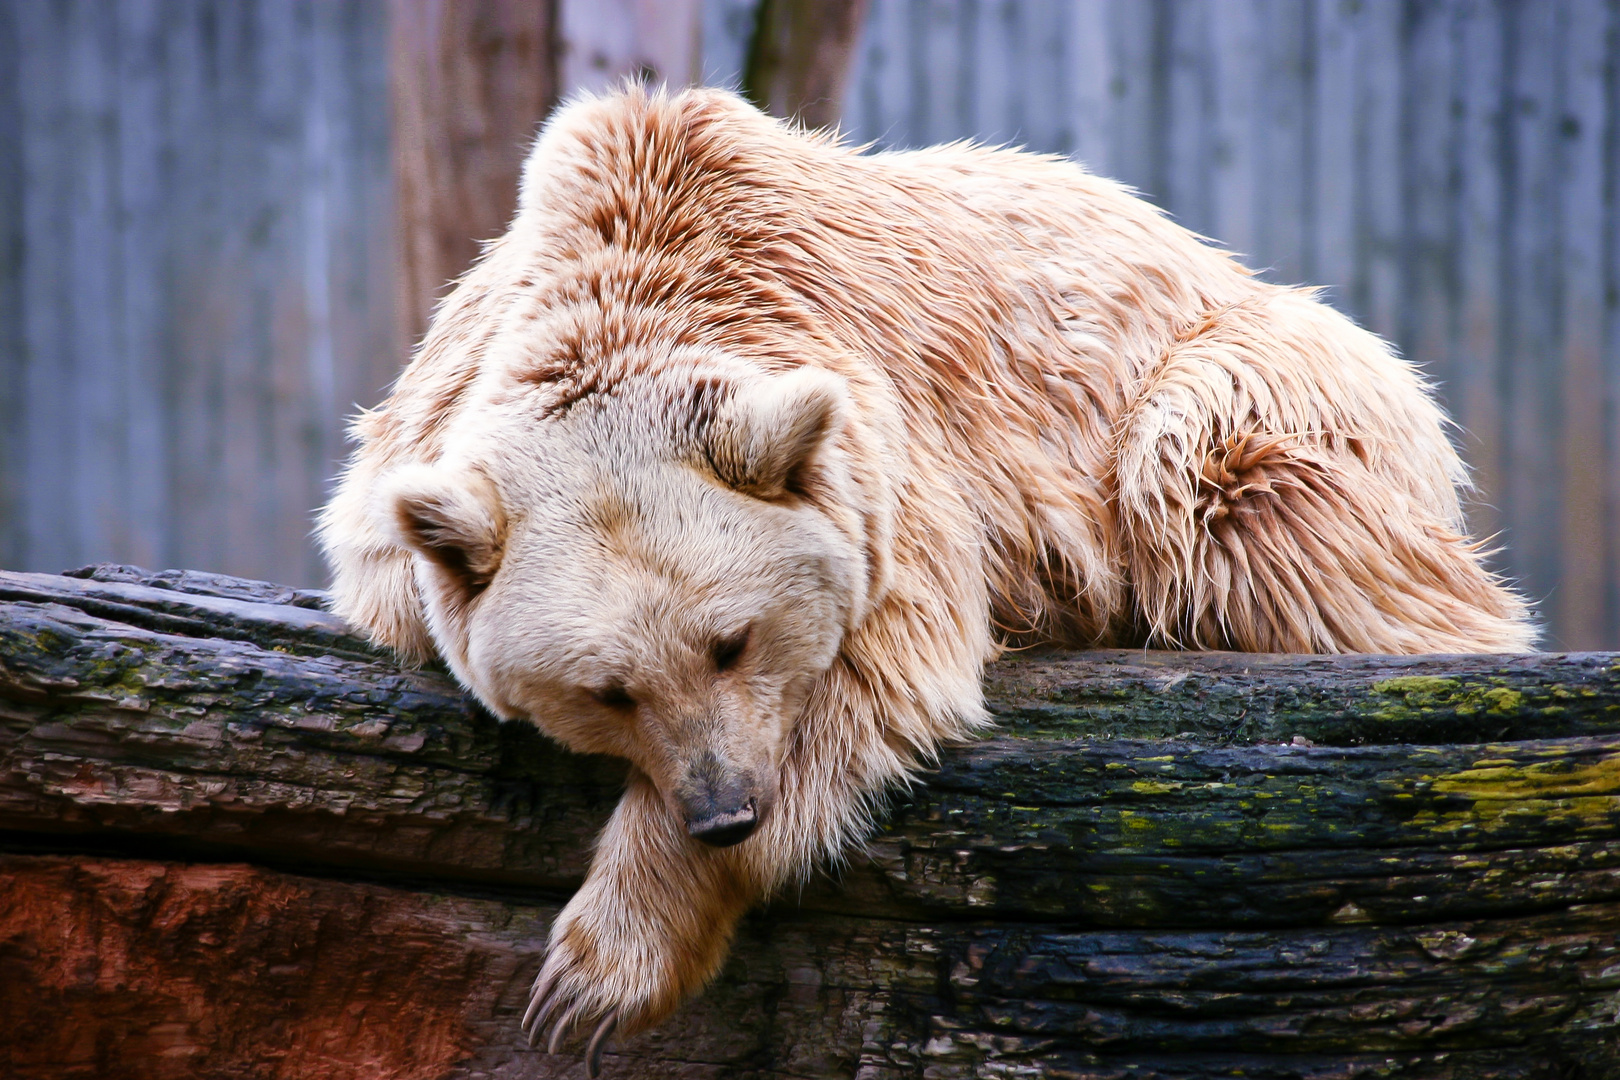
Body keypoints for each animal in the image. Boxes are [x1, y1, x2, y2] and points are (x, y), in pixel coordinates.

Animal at [312, 84, 1529, 1075]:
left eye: (730, 641)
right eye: (606, 690)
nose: (723, 812)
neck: (642, 254)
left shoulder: (895, 464)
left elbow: (877, 677)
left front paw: (595, 976)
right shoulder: (417, 449)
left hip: (1258, 373)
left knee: (1228, 484)